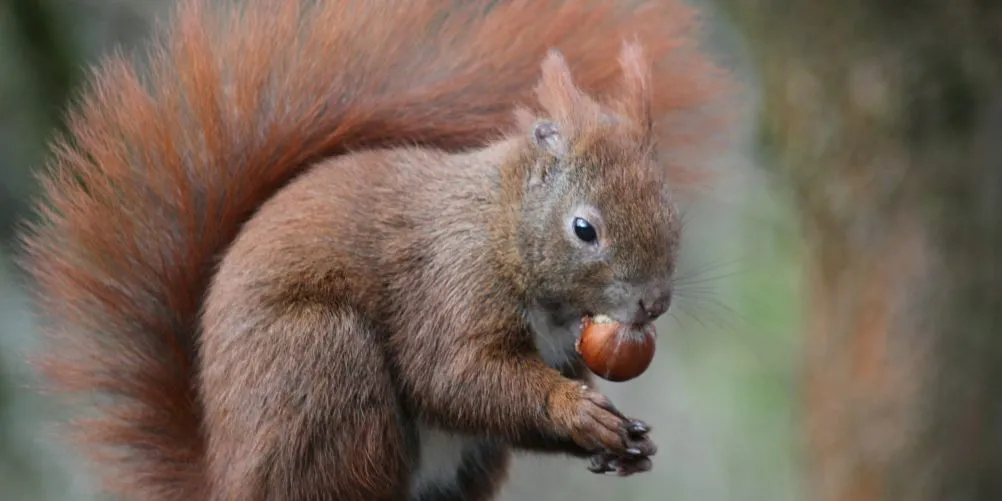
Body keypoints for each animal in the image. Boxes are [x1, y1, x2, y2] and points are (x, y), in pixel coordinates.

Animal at [17, 0, 726, 500]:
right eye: (584, 229)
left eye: (669, 209)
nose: (654, 303)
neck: (503, 228)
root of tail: (228, 480)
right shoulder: (450, 283)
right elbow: (454, 375)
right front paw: (576, 412)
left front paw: (627, 443)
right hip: (322, 366)